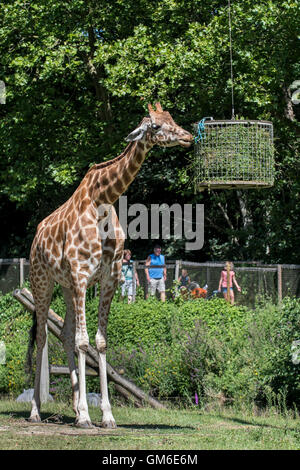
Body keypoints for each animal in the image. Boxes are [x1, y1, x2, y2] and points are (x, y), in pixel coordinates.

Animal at [27, 103, 192, 430]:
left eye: (171, 119)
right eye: (155, 126)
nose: (188, 137)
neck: (102, 199)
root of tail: (37, 235)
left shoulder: (108, 280)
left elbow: (99, 343)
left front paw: (105, 415)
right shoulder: (81, 276)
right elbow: (83, 342)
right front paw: (86, 416)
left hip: (66, 288)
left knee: (65, 334)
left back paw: (73, 407)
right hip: (42, 283)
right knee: (43, 337)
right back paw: (36, 410)